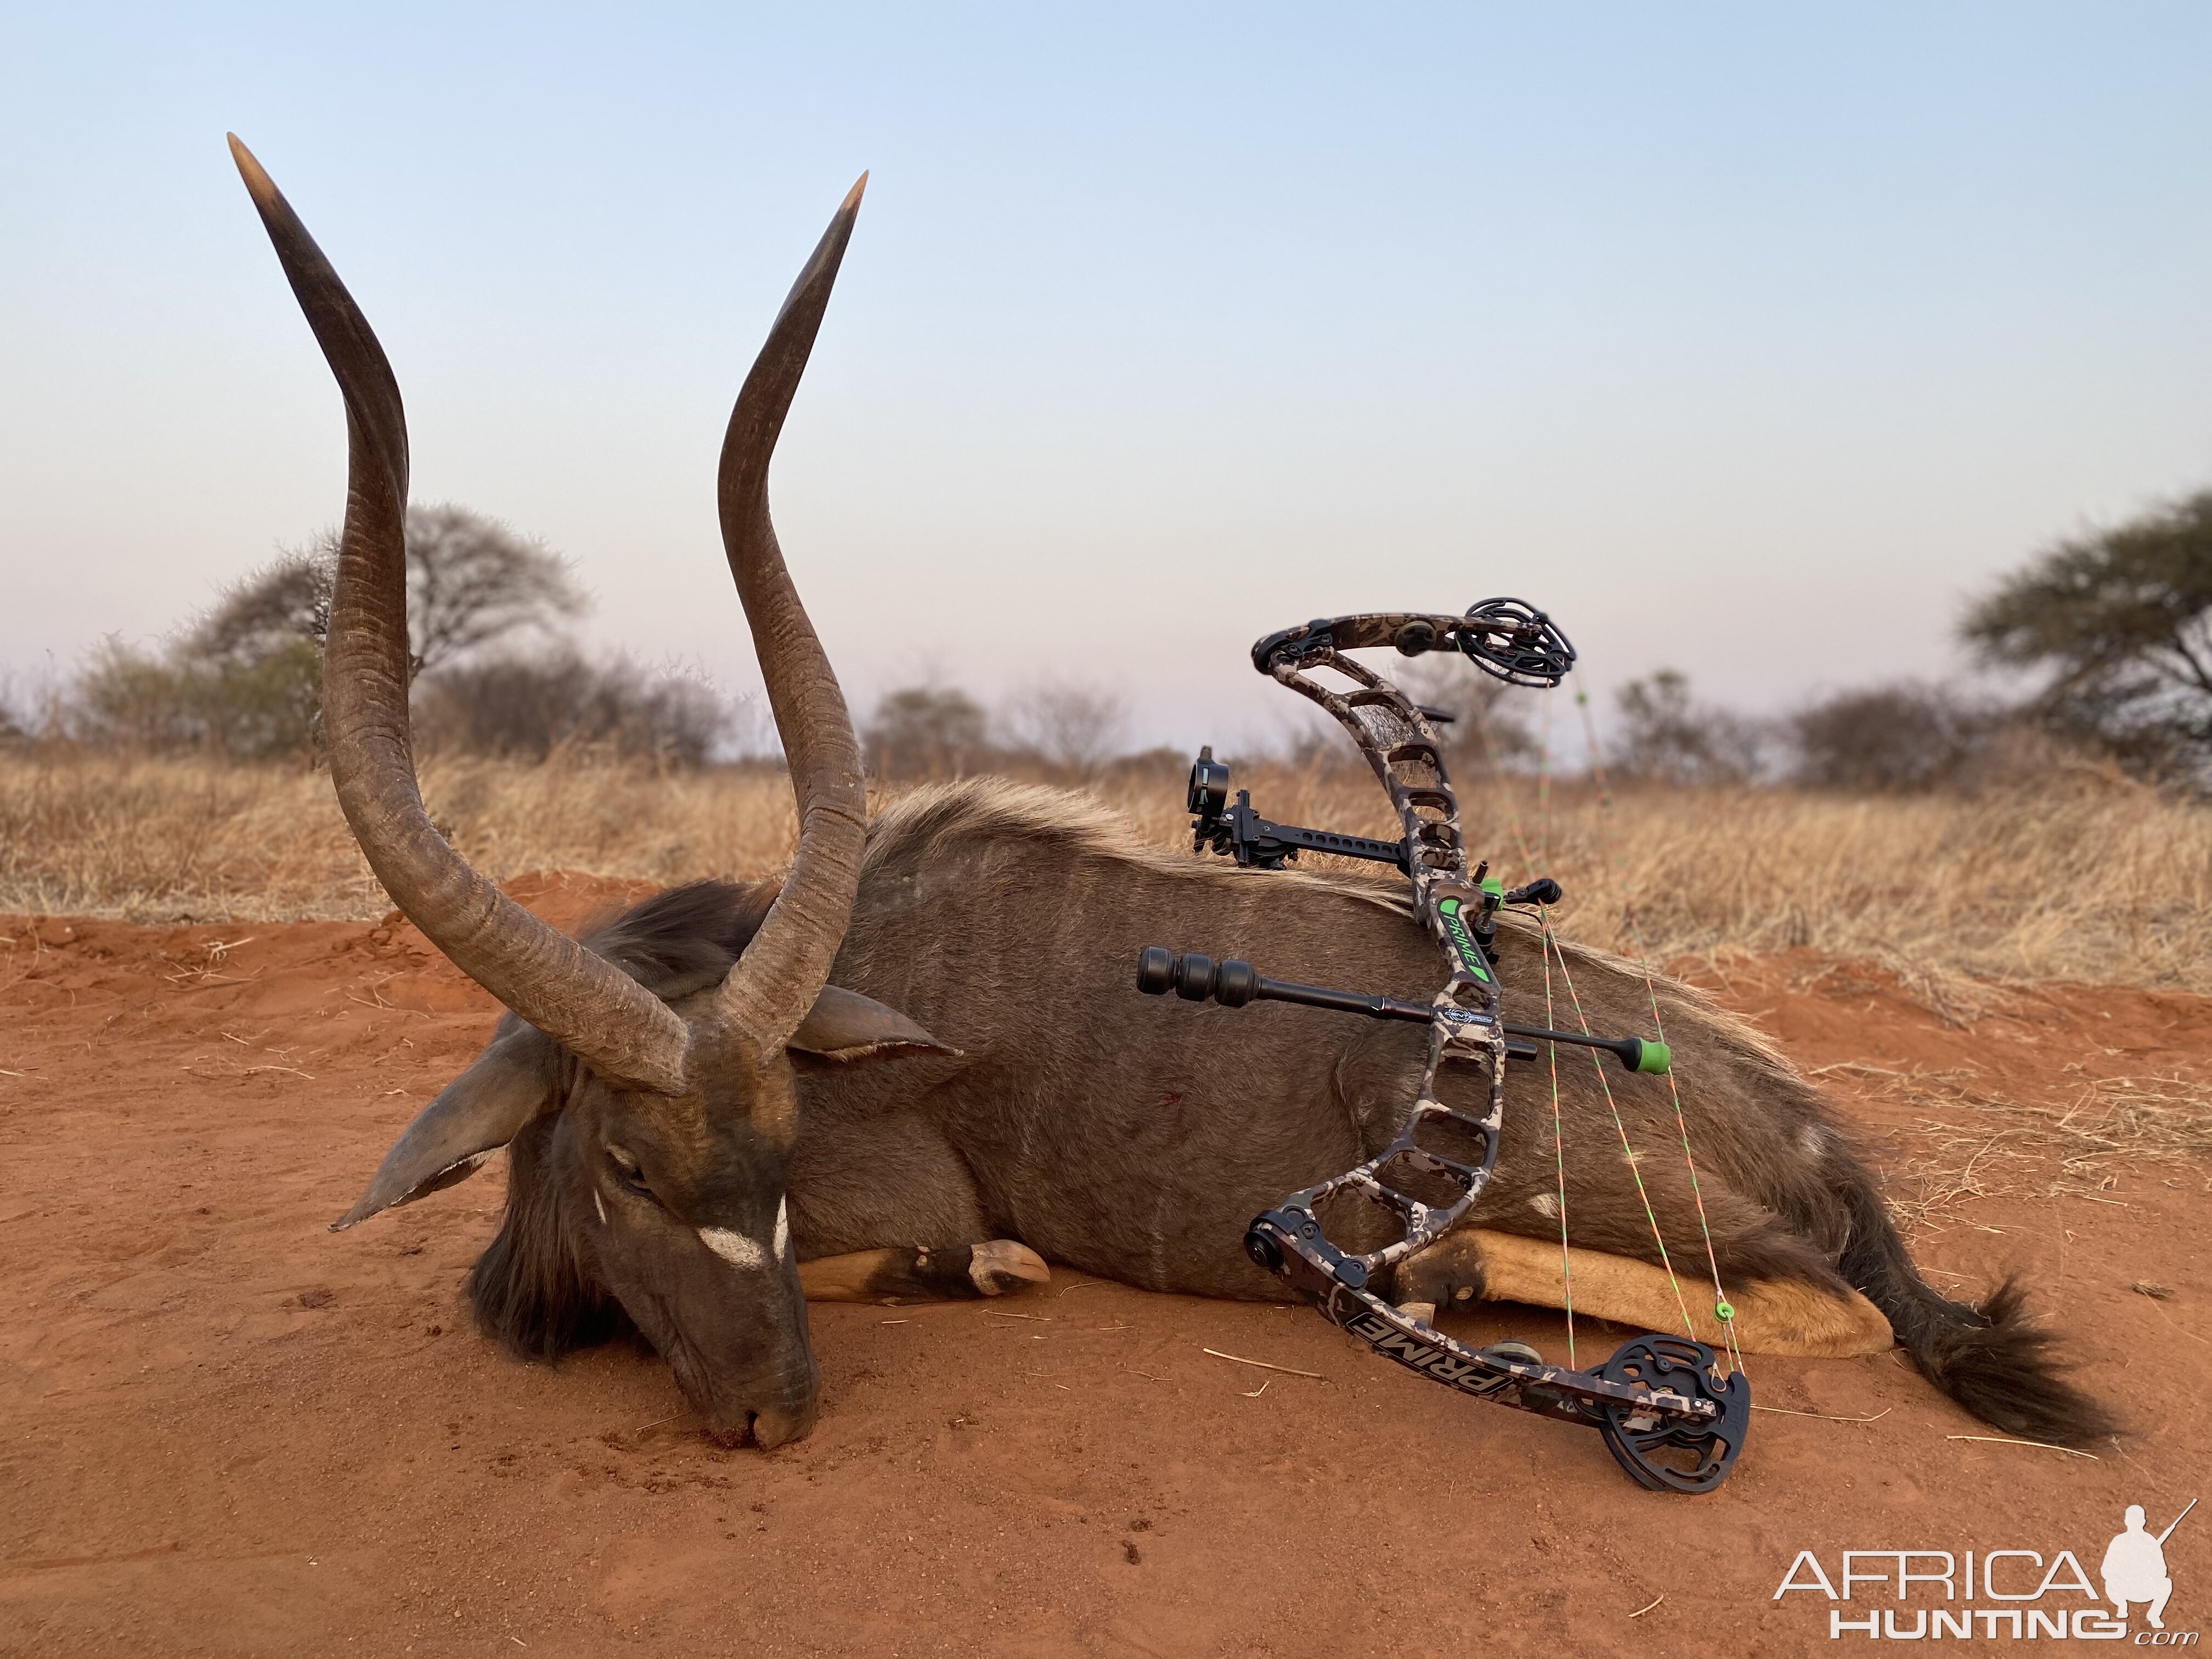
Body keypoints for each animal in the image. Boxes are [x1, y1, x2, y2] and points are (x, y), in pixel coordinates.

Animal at [233, 146, 2114, 1469]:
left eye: (778, 1151)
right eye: (629, 1160)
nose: (775, 1411)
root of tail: (1811, 1134)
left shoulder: (893, 1205)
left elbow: (941, 1255)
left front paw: (988, 1275)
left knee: (1820, 1313)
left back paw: (1441, 1285)